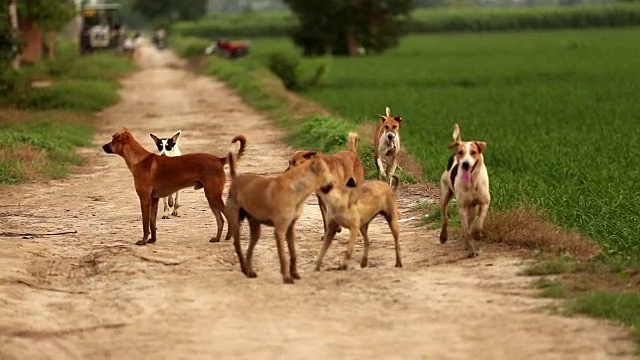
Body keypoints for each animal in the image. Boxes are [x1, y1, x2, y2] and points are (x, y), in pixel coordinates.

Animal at [101, 129, 246, 245]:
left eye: (113, 140)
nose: (102, 146)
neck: (139, 160)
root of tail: (219, 159)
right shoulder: (154, 199)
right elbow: (152, 222)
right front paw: (152, 240)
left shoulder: (144, 199)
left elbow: (145, 223)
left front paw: (143, 241)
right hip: (211, 197)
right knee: (220, 220)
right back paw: (217, 238)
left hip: (213, 195)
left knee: (227, 216)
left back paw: (229, 236)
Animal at [226, 150, 336, 284]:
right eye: (326, 173)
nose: (332, 185)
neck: (295, 187)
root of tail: (235, 179)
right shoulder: (280, 230)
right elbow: (283, 255)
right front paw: (286, 277)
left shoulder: (290, 229)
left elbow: (293, 253)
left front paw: (294, 273)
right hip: (235, 222)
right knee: (237, 245)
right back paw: (244, 269)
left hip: (255, 228)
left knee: (250, 250)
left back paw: (249, 271)